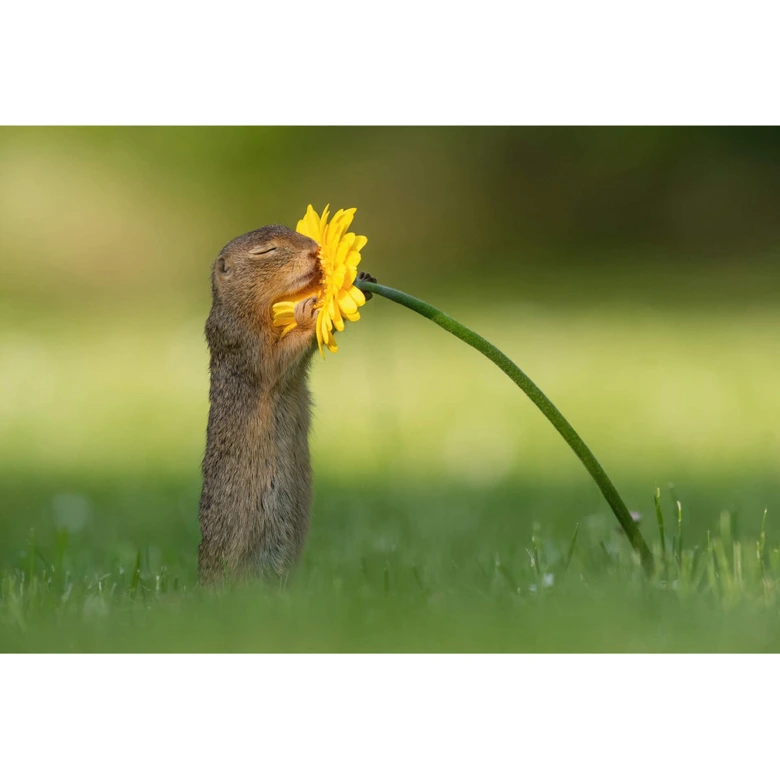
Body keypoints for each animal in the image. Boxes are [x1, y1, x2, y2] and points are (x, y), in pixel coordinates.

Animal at [197, 223, 374, 584]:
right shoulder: (244, 341)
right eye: (265, 251)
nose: (314, 251)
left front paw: (360, 279)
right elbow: (276, 360)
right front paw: (307, 313)